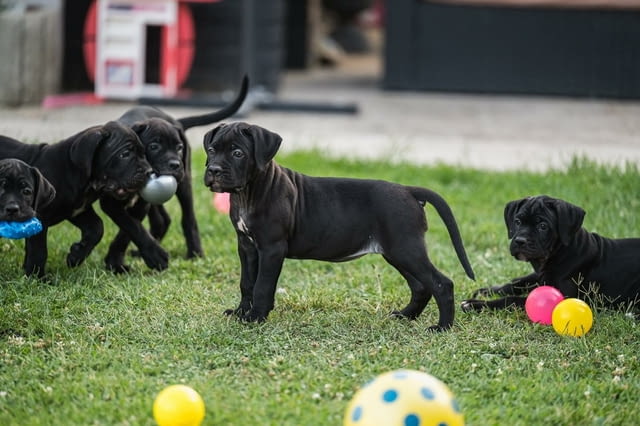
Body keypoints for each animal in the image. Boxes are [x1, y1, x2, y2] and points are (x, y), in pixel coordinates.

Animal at [0, 123, 152, 276]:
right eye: (125, 154)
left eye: (143, 153)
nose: (149, 171)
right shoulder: (41, 216)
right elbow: (38, 250)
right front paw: (37, 276)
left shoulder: (78, 210)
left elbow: (97, 228)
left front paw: (76, 256)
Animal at [101, 75, 249, 272]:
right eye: (154, 146)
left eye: (179, 148)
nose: (176, 165)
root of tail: (175, 120)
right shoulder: (110, 201)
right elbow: (130, 225)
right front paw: (135, 258)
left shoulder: (140, 204)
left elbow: (128, 230)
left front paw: (117, 261)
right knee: (162, 220)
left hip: (184, 185)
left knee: (188, 219)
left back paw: (194, 253)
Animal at [204, 121, 476, 332]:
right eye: (211, 149)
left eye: (238, 153)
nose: (213, 170)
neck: (249, 192)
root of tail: (409, 191)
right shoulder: (247, 247)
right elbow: (247, 283)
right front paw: (241, 312)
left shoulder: (271, 249)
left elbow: (262, 285)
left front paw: (255, 317)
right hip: (397, 252)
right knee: (421, 286)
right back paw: (406, 315)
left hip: (406, 249)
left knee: (441, 283)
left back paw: (442, 327)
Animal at [462, 196, 640, 312]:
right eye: (517, 222)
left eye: (543, 226)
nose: (519, 241)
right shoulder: (541, 276)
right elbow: (517, 283)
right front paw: (488, 291)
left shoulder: (561, 295)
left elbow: (512, 300)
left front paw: (476, 304)